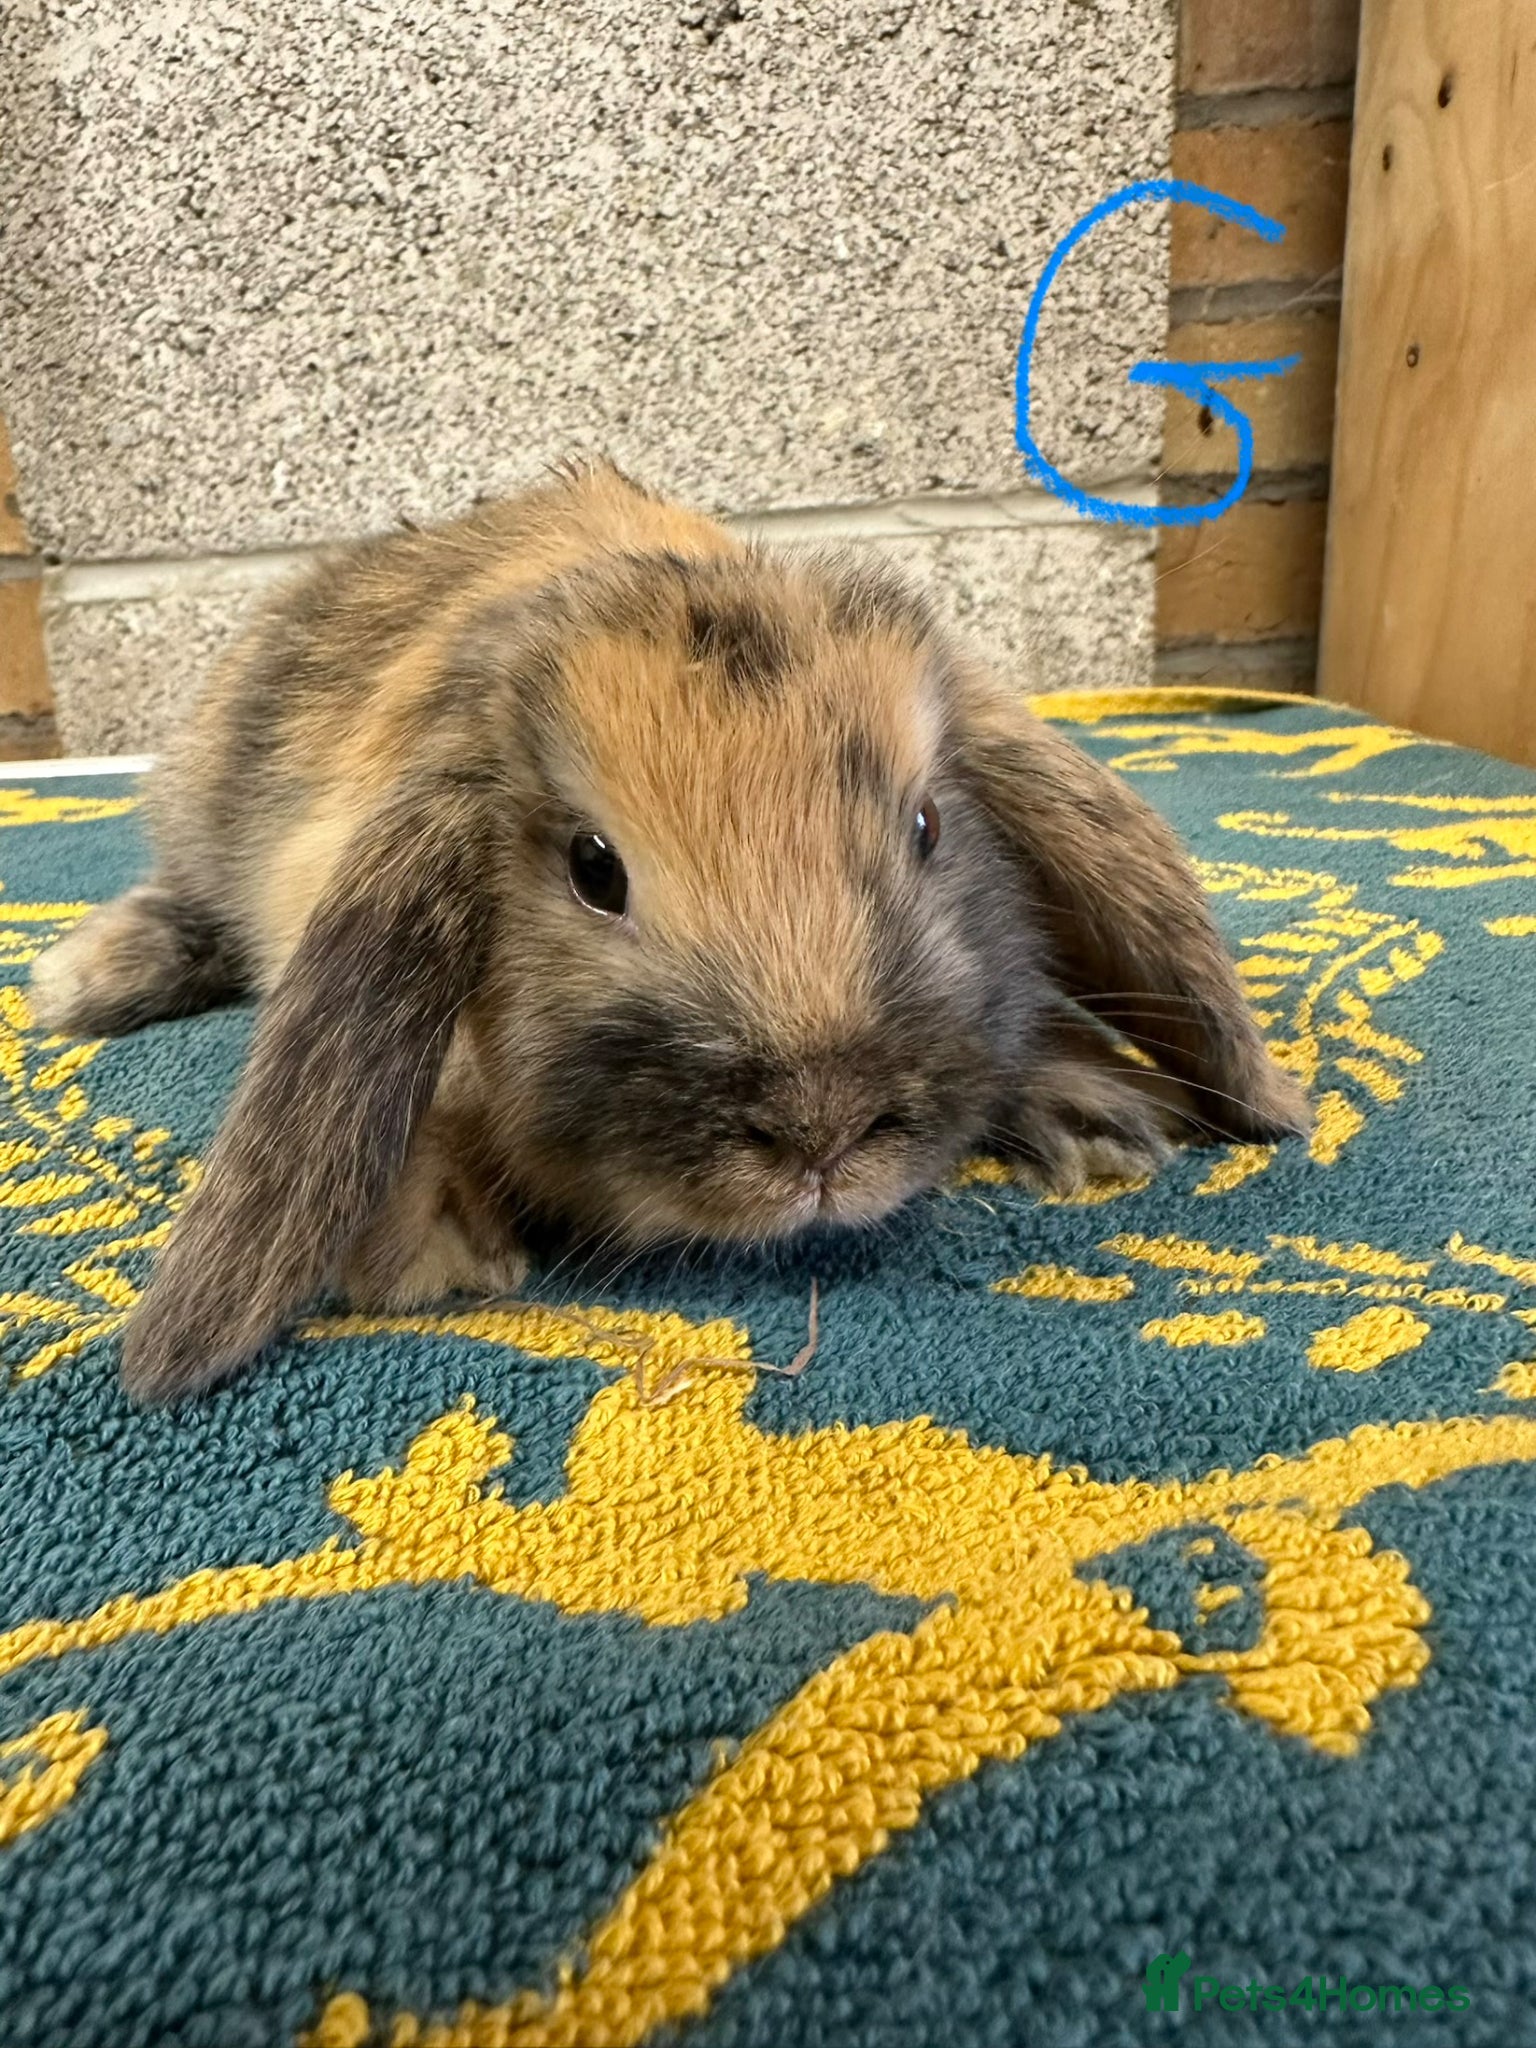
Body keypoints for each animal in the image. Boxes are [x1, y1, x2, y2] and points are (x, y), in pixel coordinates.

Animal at [30, 461, 1309, 1402]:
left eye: (929, 825)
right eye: (595, 869)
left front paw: (1095, 1117)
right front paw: (438, 1255)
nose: (821, 1135)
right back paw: (84, 977)